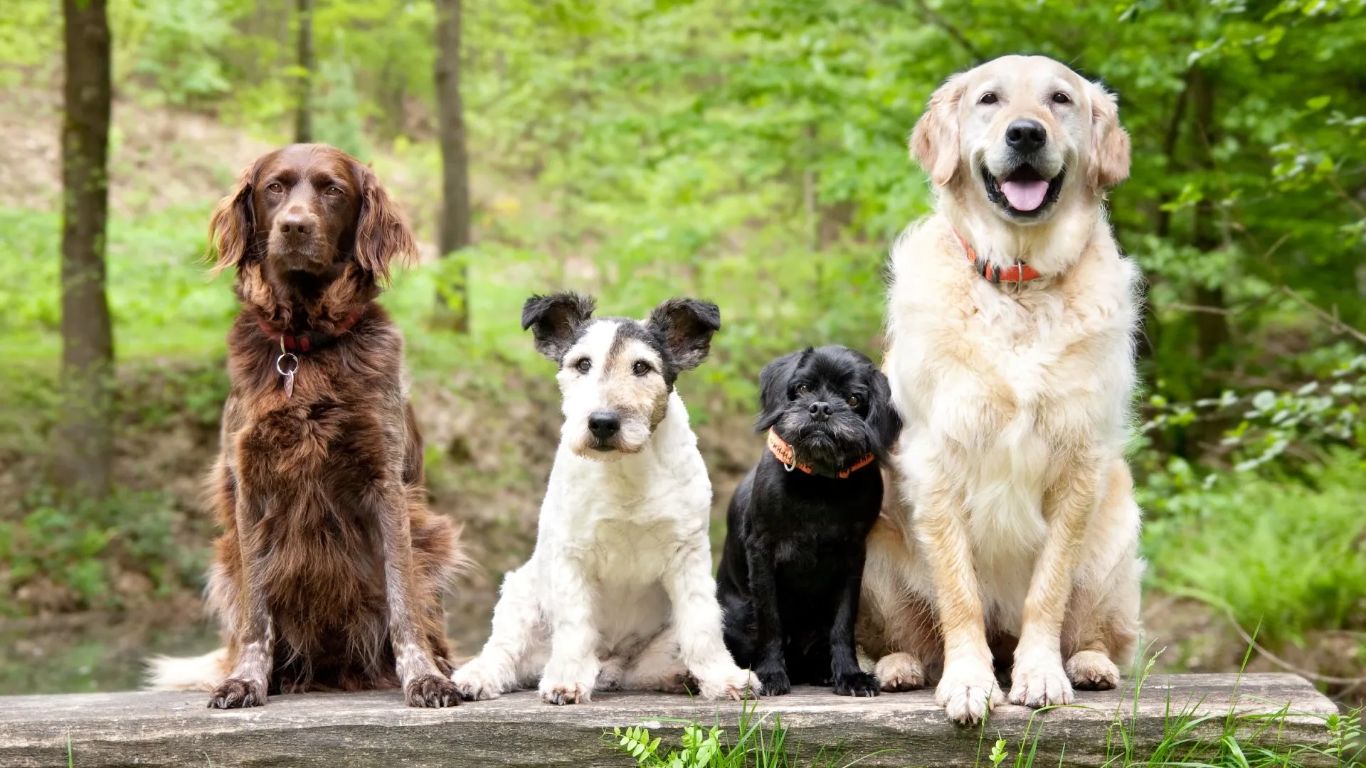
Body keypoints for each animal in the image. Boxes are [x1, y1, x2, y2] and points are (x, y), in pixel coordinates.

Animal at [149, 143, 467, 705]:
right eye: (274, 188)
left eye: (332, 190)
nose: (294, 227)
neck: (303, 349)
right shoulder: (251, 488)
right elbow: (256, 614)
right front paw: (247, 679)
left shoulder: (385, 484)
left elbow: (403, 600)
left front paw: (423, 676)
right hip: (224, 558)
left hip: (435, 537)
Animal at [721, 345, 901, 694]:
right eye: (803, 388)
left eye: (854, 398)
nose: (820, 408)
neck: (820, 482)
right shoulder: (762, 552)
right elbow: (770, 621)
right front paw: (771, 674)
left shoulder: (852, 557)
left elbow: (843, 624)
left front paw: (850, 675)